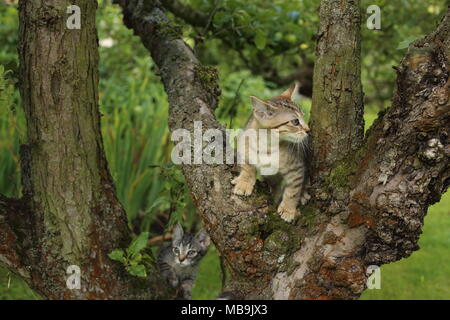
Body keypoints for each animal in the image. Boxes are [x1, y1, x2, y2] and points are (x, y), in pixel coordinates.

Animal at [230, 82, 312, 222]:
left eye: (303, 116)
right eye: (295, 121)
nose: (308, 130)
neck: (267, 146)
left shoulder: (297, 168)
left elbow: (293, 190)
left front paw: (288, 209)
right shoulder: (243, 144)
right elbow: (247, 166)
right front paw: (244, 183)